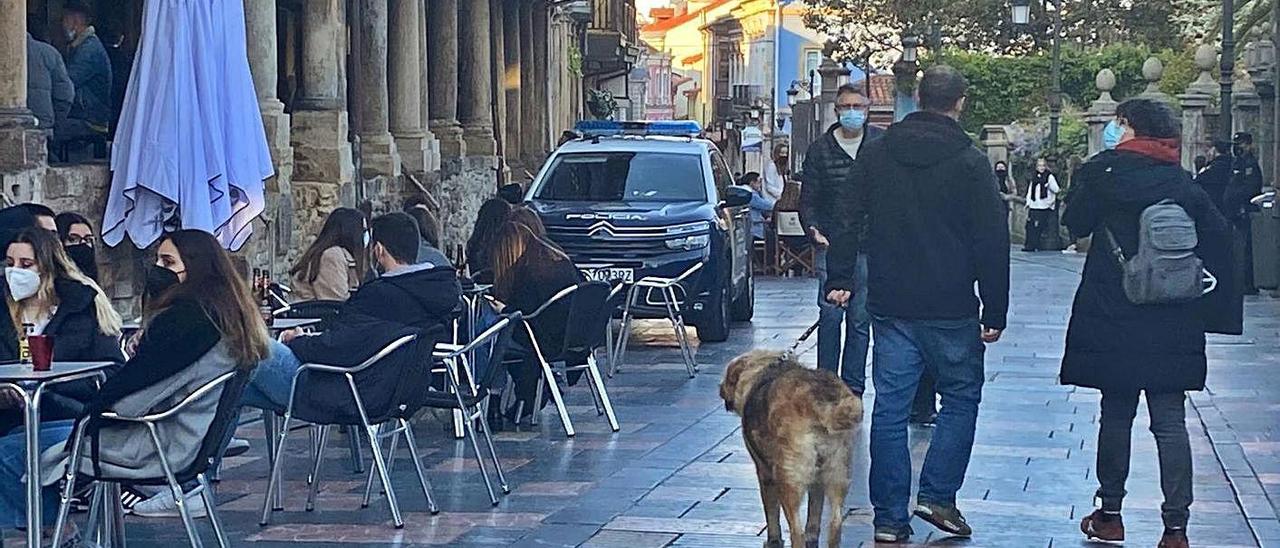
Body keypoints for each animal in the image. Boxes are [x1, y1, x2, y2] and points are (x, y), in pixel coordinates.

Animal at [721, 350, 860, 548]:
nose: (720, 389)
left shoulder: (765, 474)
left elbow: (771, 513)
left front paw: (773, 540)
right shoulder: (817, 482)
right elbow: (814, 511)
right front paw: (812, 536)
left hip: (788, 480)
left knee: (796, 531)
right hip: (838, 472)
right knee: (835, 523)